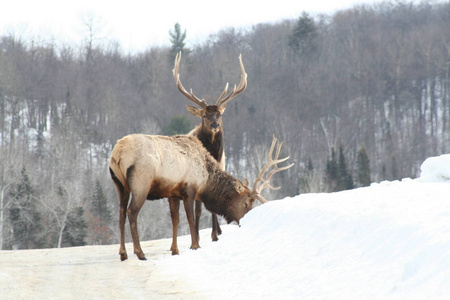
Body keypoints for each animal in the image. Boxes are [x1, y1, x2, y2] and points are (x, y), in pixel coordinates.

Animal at [108, 134, 292, 260]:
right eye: (247, 203)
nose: (245, 221)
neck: (206, 180)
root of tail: (117, 154)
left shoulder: (172, 193)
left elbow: (175, 220)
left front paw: (175, 250)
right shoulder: (189, 189)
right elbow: (190, 218)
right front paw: (195, 245)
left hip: (120, 185)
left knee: (121, 213)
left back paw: (123, 253)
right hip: (141, 183)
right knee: (132, 212)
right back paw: (139, 253)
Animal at [171, 51, 248, 241]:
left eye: (219, 114)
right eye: (204, 115)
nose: (215, 125)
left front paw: (214, 234)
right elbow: (198, 209)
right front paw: (197, 236)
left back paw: (218, 230)